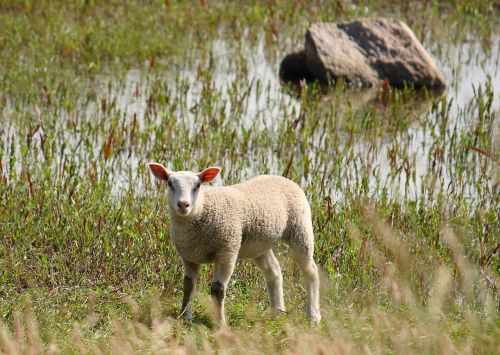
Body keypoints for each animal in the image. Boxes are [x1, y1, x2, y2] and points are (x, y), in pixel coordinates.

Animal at [148, 163, 322, 326]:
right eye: (170, 183)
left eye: (197, 186)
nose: (183, 205)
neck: (202, 209)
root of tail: (283, 178)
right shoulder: (189, 257)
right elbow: (188, 286)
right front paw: (185, 317)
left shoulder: (227, 250)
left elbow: (217, 289)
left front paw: (220, 324)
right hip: (259, 244)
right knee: (273, 271)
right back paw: (276, 312)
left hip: (300, 228)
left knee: (311, 272)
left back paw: (313, 316)